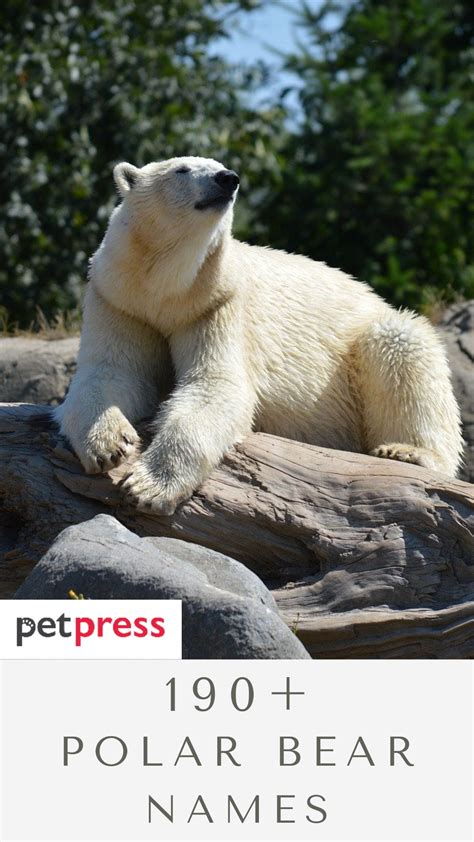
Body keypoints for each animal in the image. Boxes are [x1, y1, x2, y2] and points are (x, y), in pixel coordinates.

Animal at [54, 156, 463, 514]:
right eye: (182, 168)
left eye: (220, 164)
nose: (227, 179)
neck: (167, 288)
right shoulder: (121, 301)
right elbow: (112, 373)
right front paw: (108, 445)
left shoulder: (217, 303)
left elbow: (215, 385)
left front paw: (148, 486)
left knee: (402, 347)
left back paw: (406, 451)